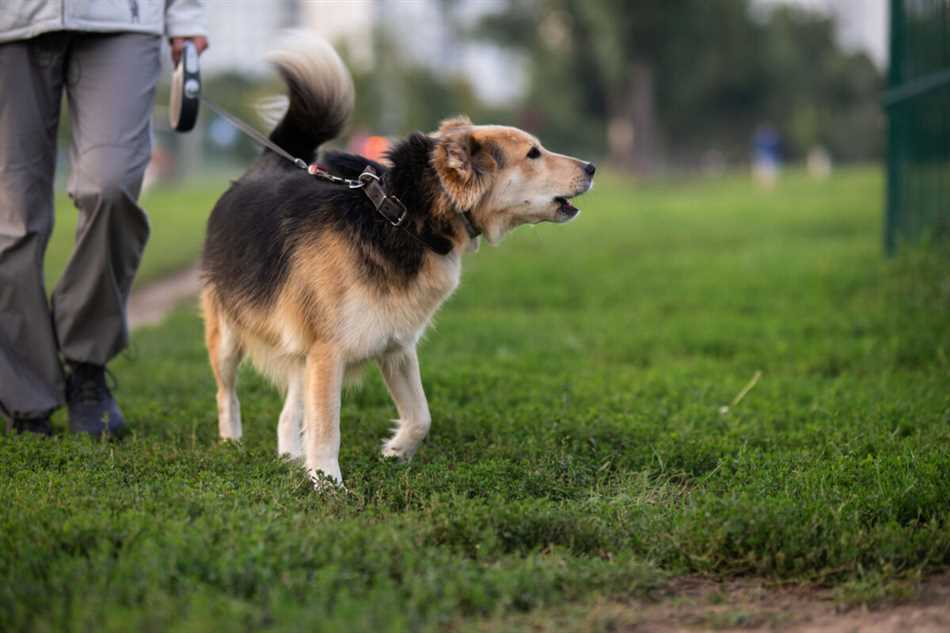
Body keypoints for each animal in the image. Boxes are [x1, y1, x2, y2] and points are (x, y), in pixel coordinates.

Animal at [201, 34, 596, 484]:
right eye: (533, 154)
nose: (592, 167)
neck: (403, 215)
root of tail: (265, 168)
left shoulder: (395, 344)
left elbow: (421, 416)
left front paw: (394, 452)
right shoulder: (328, 352)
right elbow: (327, 426)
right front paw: (328, 484)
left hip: (299, 347)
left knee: (288, 413)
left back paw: (288, 457)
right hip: (227, 336)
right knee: (226, 393)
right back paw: (232, 445)